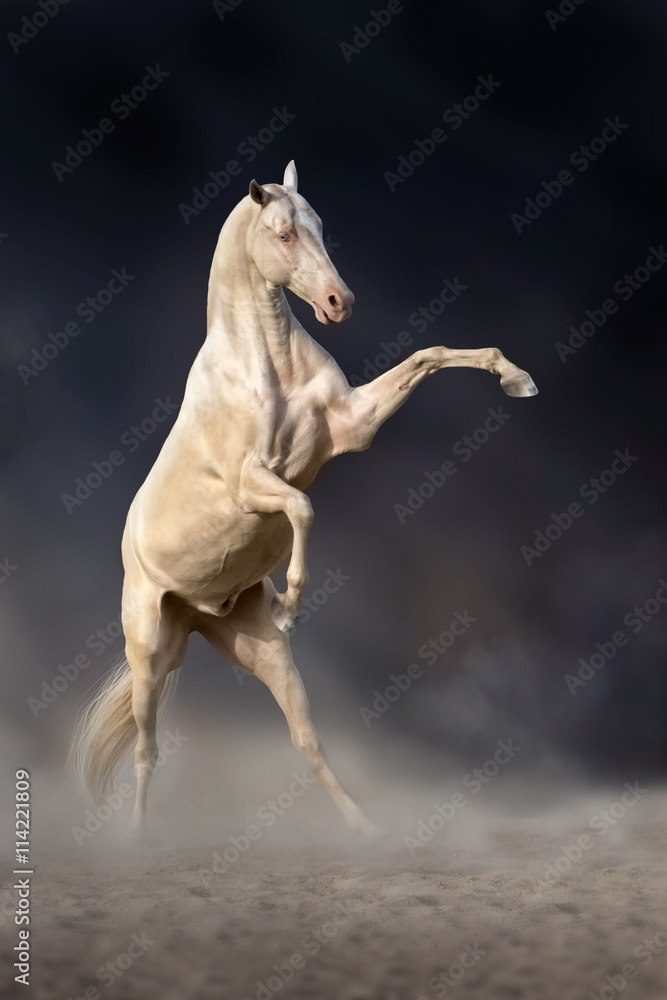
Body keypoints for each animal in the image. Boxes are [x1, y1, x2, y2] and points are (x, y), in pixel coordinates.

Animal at [69, 160, 538, 839]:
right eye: (285, 234)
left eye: (321, 225)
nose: (341, 303)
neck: (268, 371)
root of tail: (198, 612)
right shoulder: (251, 484)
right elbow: (301, 509)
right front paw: (291, 601)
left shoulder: (353, 426)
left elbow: (429, 355)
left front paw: (516, 378)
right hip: (150, 657)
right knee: (146, 750)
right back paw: (135, 842)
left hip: (266, 659)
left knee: (306, 742)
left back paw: (367, 832)